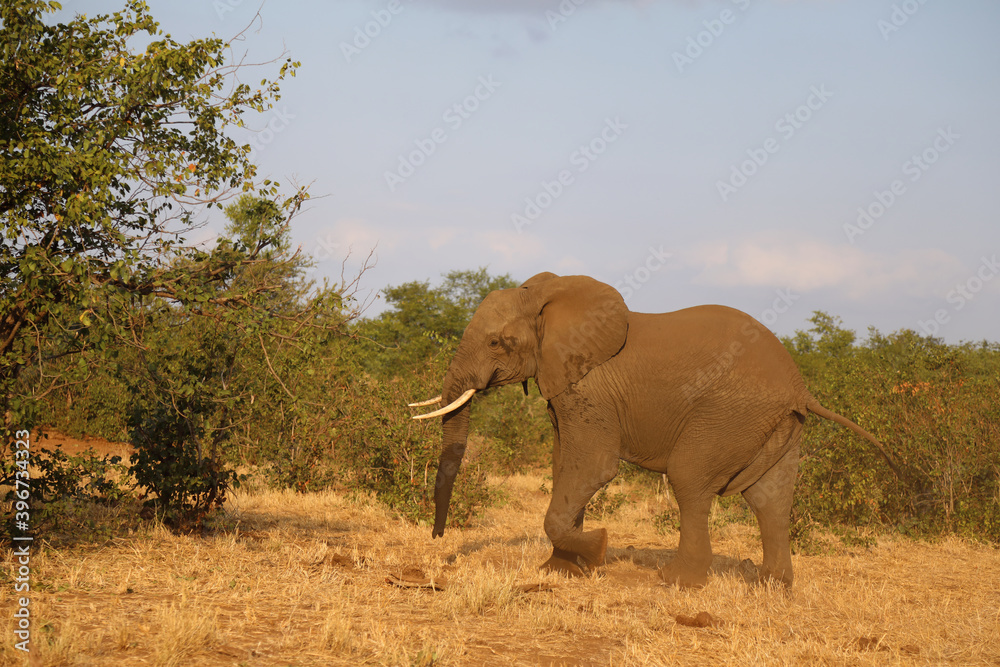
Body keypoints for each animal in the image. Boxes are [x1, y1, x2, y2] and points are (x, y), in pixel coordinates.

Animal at [409, 272, 898, 589]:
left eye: (496, 342)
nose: (436, 540)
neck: (547, 297)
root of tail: (800, 387)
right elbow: (565, 464)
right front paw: (563, 571)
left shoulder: (590, 388)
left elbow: (593, 467)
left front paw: (599, 549)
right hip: (781, 425)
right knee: (770, 497)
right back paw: (771, 586)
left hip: (728, 414)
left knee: (691, 478)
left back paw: (677, 581)